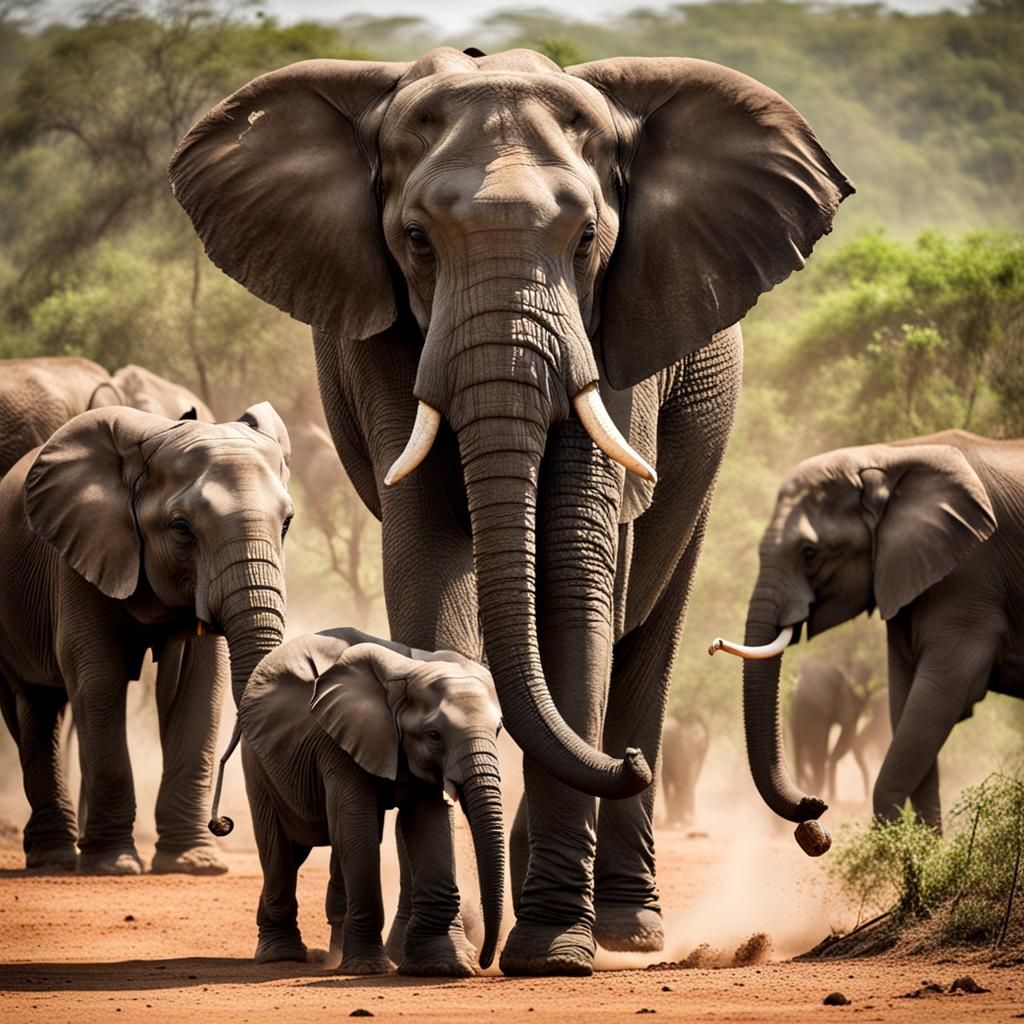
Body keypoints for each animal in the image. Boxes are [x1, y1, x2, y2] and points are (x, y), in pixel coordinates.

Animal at [0, 403, 292, 874]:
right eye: (181, 527)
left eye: (286, 524)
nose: (222, 823)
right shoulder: (80, 551)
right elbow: (98, 675)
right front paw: (113, 866)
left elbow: (198, 682)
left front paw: (194, 864)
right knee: (33, 705)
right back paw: (54, 859)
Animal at [229, 627, 504, 975]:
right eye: (434, 736)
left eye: (498, 729)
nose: (485, 961)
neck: (409, 671)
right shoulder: (337, 743)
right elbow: (357, 826)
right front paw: (367, 969)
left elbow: (429, 825)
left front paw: (443, 966)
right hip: (257, 760)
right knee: (280, 848)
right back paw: (281, 955)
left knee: (306, 848)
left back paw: (328, 954)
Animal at [712, 430, 1023, 832]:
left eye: (809, 553)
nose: (816, 804)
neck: (887, 457)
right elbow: (907, 702)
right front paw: (919, 847)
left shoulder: (971, 577)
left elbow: (939, 695)